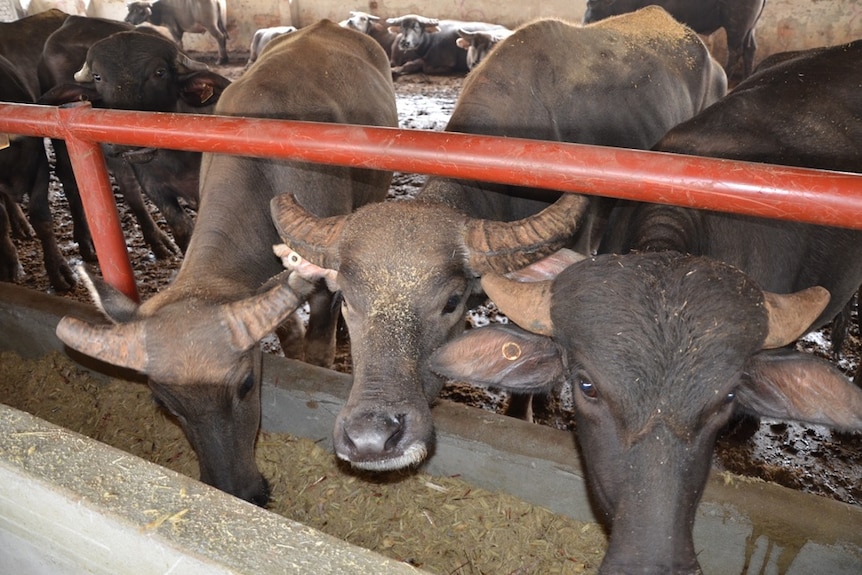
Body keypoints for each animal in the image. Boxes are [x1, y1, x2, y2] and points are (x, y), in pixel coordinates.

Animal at [55, 21, 400, 508]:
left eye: (246, 386)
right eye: (164, 403)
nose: (240, 491)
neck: (265, 175)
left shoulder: (323, 287)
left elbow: (318, 348)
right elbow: (287, 334)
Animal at [584, 0, 768, 85]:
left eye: (594, 4)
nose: (586, 21)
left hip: (737, 22)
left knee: (736, 50)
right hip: (751, 25)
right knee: (750, 48)